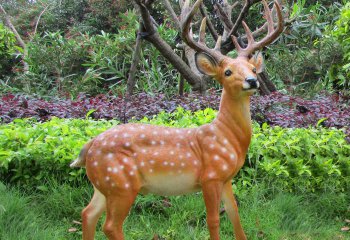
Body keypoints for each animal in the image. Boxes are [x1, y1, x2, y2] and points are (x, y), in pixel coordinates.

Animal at [71, 0, 284, 239]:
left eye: (254, 69)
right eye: (227, 72)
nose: (252, 81)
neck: (227, 136)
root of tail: (89, 147)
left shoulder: (226, 178)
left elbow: (234, 213)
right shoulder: (210, 176)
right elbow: (213, 220)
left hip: (104, 184)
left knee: (88, 213)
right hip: (121, 183)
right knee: (110, 225)